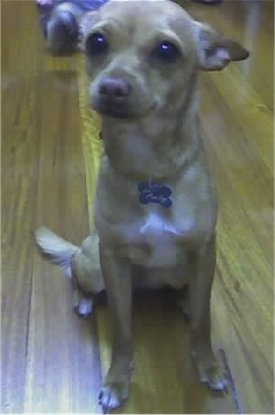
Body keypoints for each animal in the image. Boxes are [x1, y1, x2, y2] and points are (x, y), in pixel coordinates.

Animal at [35, 0, 250, 410]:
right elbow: (122, 332)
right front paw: (117, 381)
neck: (150, 171)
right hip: (95, 263)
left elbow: (202, 322)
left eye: (166, 50)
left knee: (190, 294)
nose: (111, 87)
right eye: (96, 41)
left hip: (183, 270)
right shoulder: (114, 261)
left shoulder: (204, 251)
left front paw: (208, 365)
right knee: (76, 273)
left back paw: (184, 299)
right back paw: (84, 300)